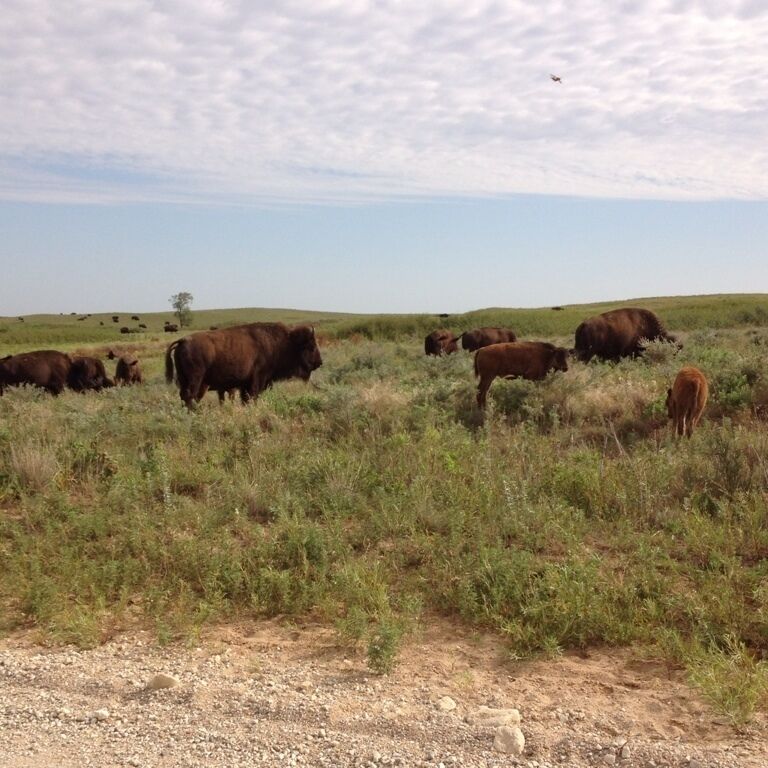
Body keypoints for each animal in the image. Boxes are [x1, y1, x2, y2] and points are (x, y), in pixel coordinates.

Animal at [165, 322, 322, 409]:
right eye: (311, 347)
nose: (319, 363)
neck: (283, 343)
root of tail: (182, 340)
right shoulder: (257, 380)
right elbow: (252, 397)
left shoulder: (244, 385)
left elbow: (245, 399)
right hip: (196, 381)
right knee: (189, 396)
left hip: (185, 380)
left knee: (185, 397)